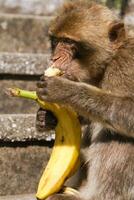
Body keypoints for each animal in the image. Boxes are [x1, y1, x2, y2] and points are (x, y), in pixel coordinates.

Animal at [36, 0, 134, 199]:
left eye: (69, 42)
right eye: (55, 41)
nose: (54, 58)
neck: (107, 64)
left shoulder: (126, 65)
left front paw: (66, 90)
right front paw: (46, 118)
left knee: (116, 133)